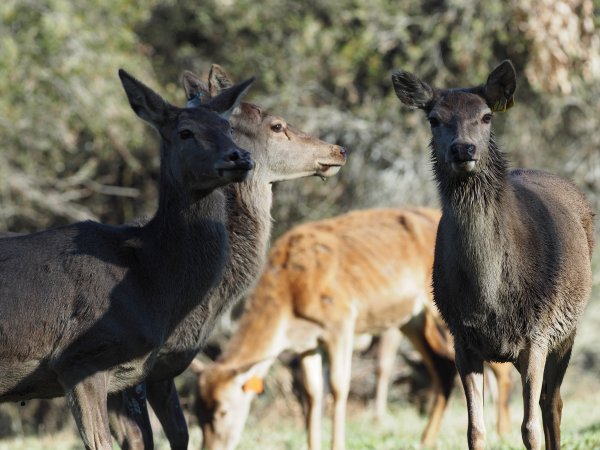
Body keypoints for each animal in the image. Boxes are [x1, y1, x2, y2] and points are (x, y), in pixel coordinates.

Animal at [192, 209, 510, 450]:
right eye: (197, 411)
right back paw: (425, 440)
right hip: (411, 319)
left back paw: (501, 431)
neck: (290, 295)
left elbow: (338, 386)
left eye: (222, 409)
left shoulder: (341, 322)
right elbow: (312, 393)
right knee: (442, 364)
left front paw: (337, 444)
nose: (210, 448)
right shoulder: (308, 343)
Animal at [394, 60, 596, 450]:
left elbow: (529, 428)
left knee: (553, 402)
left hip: (569, 328)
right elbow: (475, 429)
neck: (491, 300)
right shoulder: (461, 337)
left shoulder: (538, 332)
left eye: (486, 116)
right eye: (434, 119)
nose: (463, 149)